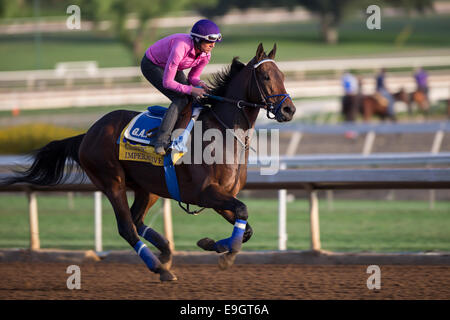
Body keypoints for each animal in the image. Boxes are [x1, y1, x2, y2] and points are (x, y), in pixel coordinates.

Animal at [2, 43, 296, 282]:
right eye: (266, 76)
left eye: (282, 76)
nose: (289, 109)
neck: (223, 134)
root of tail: (88, 133)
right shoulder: (206, 193)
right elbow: (243, 213)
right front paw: (226, 254)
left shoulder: (222, 197)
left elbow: (246, 228)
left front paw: (211, 244)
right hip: (112, 182)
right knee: (127, 227)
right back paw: (160, 268)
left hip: (149, 187)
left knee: (136, 219)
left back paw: (165, 252)